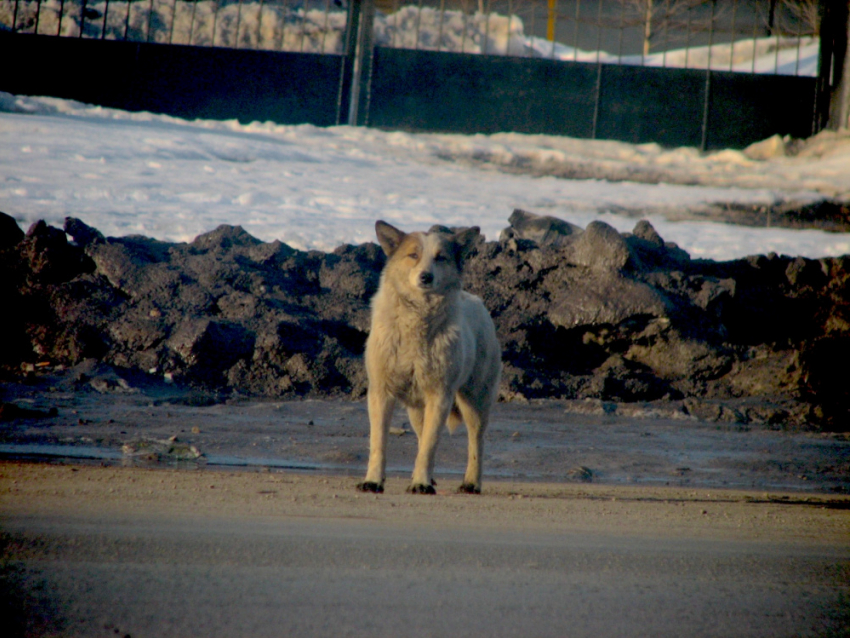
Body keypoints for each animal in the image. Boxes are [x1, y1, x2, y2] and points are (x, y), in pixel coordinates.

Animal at [354, 222, 500, 498]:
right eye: (413, 255)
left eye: (440, 257)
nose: (426, 277)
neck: (416, 321)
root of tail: (476, 301)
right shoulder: (381, 392)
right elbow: (378, 443)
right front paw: (373, 481)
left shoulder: (440, 395)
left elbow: (430, 446)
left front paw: (421, 483)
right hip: (415, 408)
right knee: (422, 434)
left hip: (475, 400)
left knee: (476, 441)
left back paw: (470, 483)